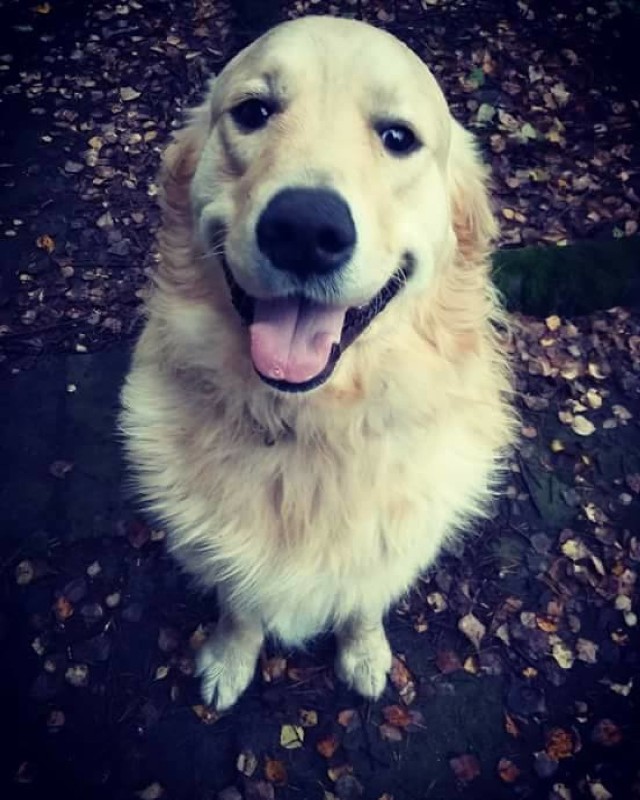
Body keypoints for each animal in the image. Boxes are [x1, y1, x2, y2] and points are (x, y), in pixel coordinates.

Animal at [121, 15, 516, 708]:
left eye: (397, 137)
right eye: (253, 111)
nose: (305, 230)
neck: (312, 427)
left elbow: (363, 601)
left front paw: (364, 653)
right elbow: (240, 605)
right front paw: (228, 658)